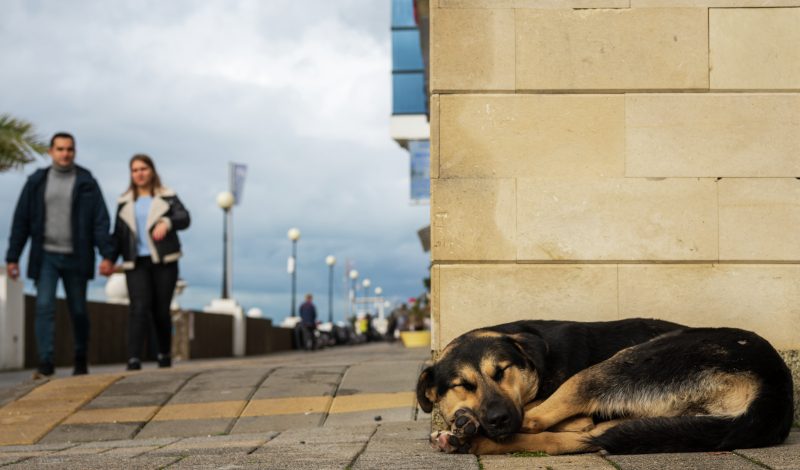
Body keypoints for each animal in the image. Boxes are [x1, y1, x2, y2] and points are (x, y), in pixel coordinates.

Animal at [418, 320, 792, 456]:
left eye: (502, 371)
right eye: (462, 384)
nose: (497, 419)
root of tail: (777, 390)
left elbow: (543, 415)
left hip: (625, 363)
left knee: (542, 422)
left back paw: (468, 433)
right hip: (657, 422)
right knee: (574, 439)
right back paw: (467, 439)